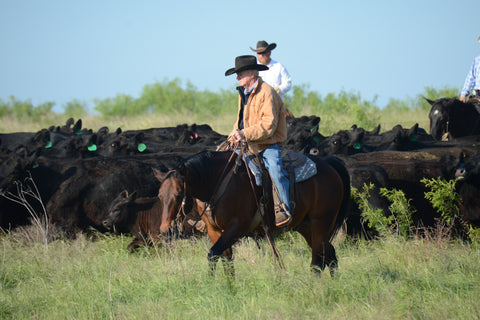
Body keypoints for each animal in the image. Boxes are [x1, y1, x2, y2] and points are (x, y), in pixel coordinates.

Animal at [157, 150, 348, 276]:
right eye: (159, 195)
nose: (165, 230)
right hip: (306, 226)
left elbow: (212, 254)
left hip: (321, 222)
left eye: (178, 194)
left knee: (318, 261)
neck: (217, 181)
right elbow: (226, 260)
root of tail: (328, 165)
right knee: (330, 255)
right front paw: (229, 287)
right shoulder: (215, 231)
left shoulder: (237, 227)